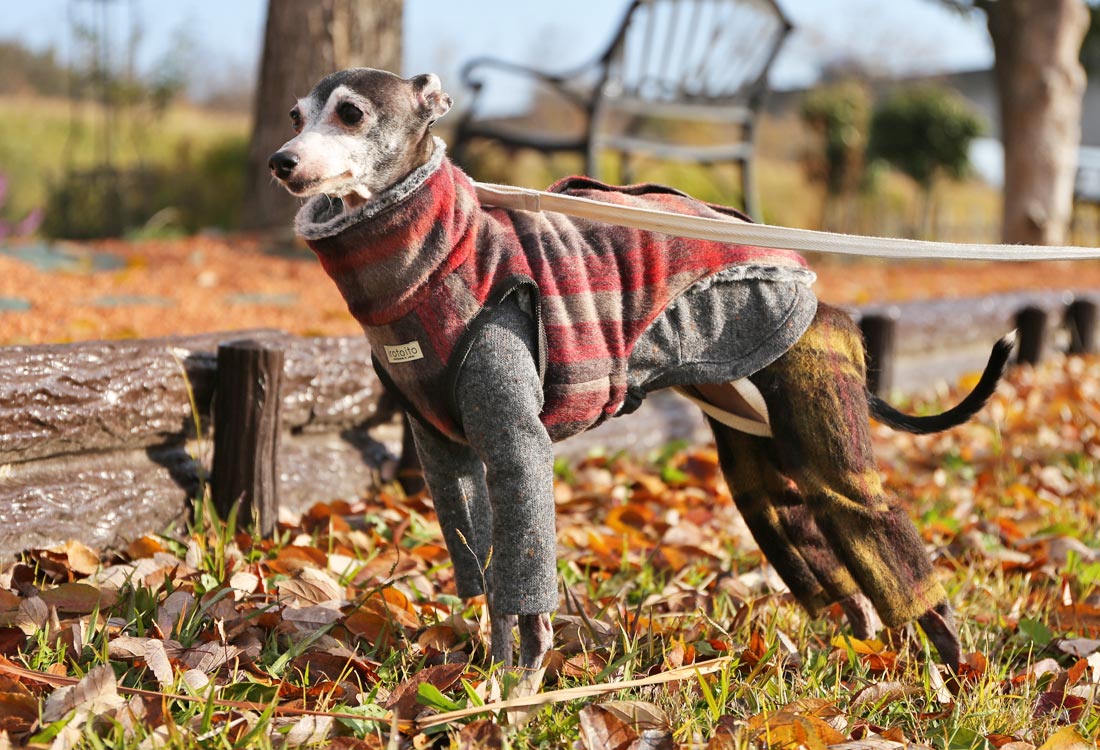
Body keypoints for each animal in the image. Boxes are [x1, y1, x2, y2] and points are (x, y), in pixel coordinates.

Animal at [270, 67, 1007, 668]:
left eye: (351, 112)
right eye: (296, 115)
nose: (281, 161)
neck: (436, 260)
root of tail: (818, 293)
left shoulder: (517, 449)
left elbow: (524, 586)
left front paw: (517, 693)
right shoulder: (444, 452)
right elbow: (483, 568)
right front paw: (481, 678)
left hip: (827, 447)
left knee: (882, 537)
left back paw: (948, 673)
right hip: (757, 455)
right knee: (821, 559)